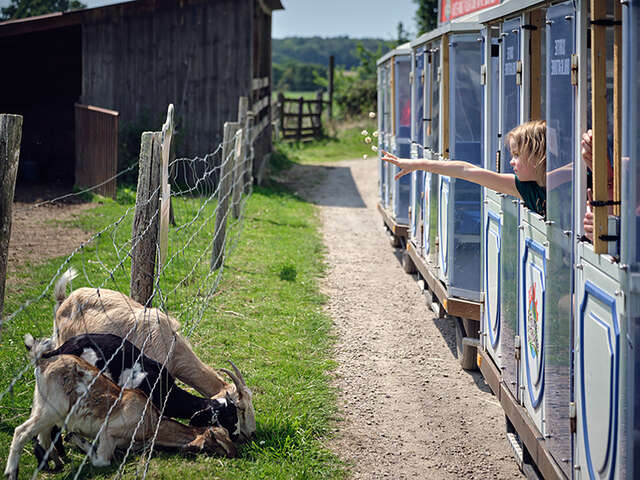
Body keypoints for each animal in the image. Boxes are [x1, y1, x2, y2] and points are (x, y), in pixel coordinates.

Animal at [5, 336, 236, 480]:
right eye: (227, 418)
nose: (239, 440)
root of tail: (47, 357)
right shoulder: (108, 432)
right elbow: (102, 460)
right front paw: (79, 441)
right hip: (52, 409)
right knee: (23, 431)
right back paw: (13, 471)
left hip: (43, 406)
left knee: (42, 434)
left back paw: (53, 461)